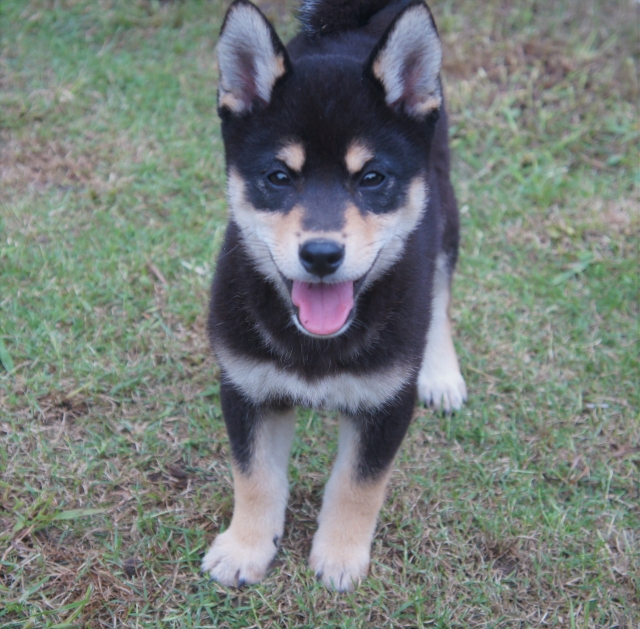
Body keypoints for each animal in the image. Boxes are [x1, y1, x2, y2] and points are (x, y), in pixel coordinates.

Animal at [201, 0, 467, 591]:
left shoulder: (387, 400)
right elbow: (254, 476)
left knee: (440, 297)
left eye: (372, 178)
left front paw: (340, 555)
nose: (321, 254)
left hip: (446, 213)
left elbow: (358, 484)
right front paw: (246, 547)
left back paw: (442, 372)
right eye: (279, 177)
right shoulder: (247, 387)